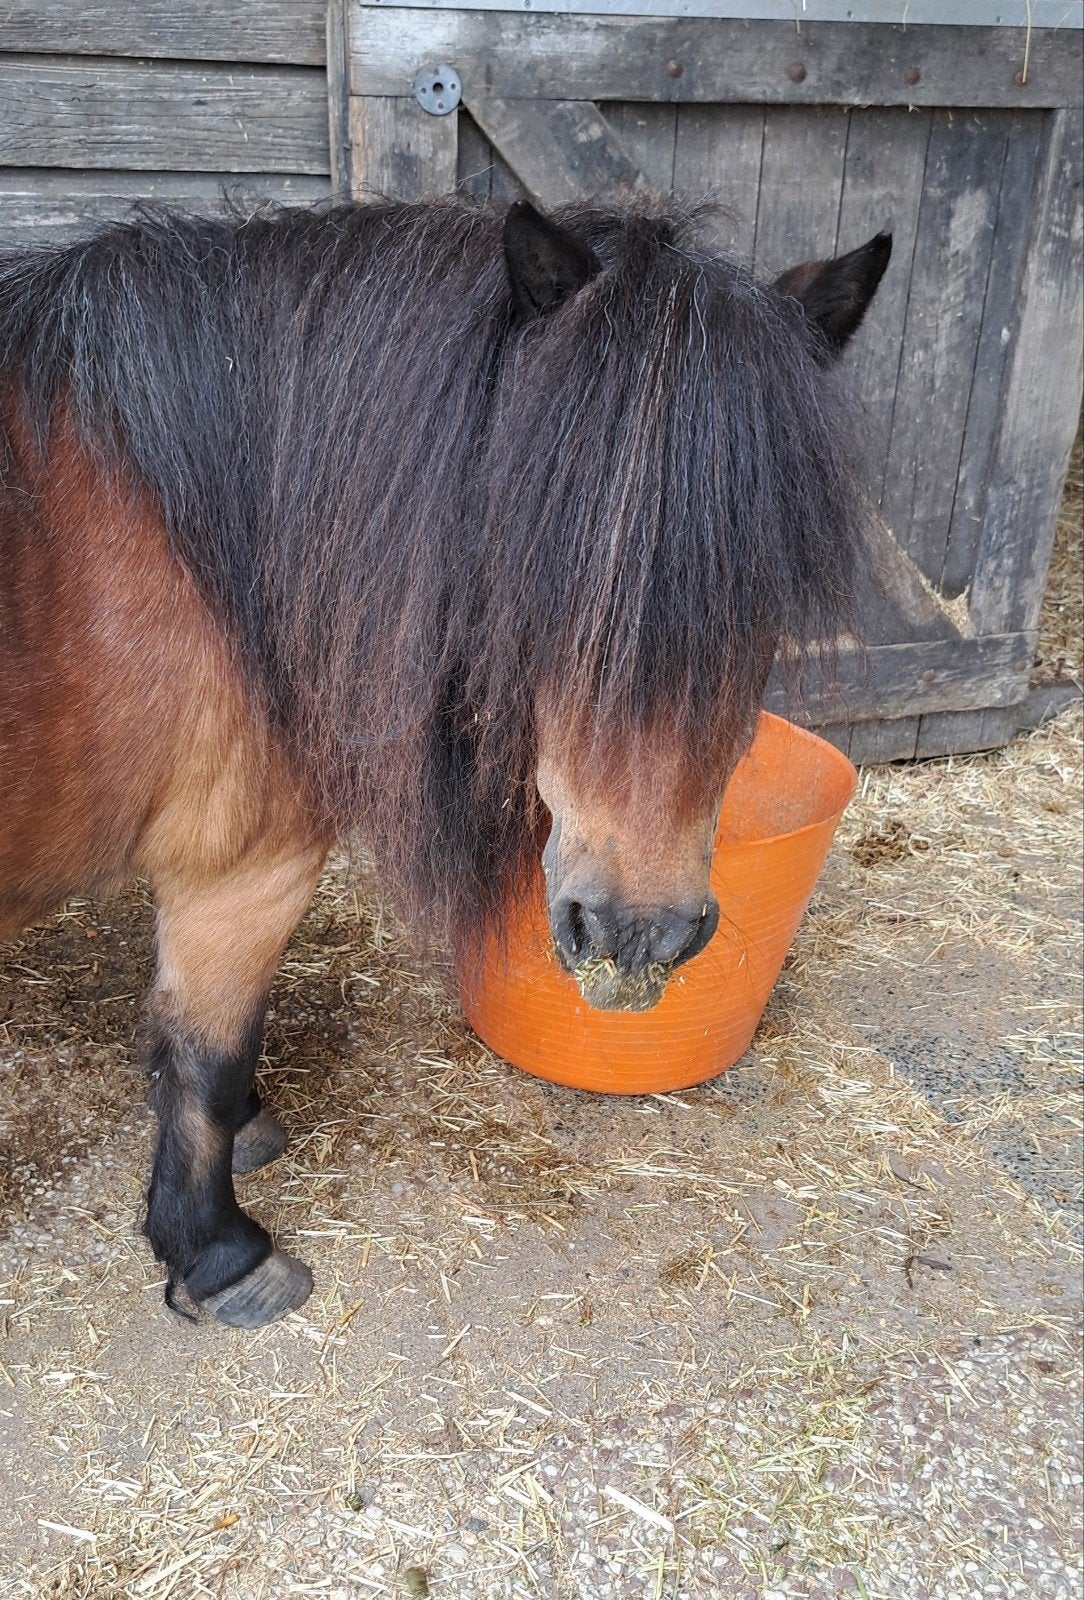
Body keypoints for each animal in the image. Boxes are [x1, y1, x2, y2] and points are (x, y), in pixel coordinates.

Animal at [0, 196, 889, 1329]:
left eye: (765, 594)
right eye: (541, 555)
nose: (637, 935)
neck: (211, 539)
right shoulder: (241, 870)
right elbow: (207, 1053)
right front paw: (217, 1251)